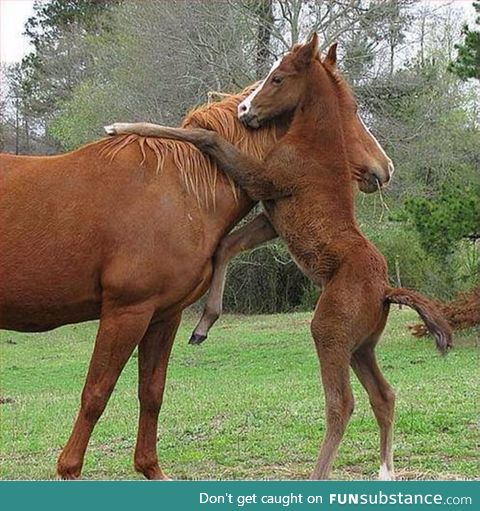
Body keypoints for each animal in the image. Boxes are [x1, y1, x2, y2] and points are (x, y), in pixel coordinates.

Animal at [0, 57, 390, 484]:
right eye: (350, 109)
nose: (385, 167)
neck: (179, 189)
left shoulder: (162, 316)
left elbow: (152, 392)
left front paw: (149, 467)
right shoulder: (126, 312)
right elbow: (96, 393)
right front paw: (69, 469)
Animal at [106, 35, 454, 480]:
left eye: (278, 77)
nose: (244, 110)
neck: (314, 142)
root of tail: (386, 288)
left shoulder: (265, 181)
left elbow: (207, 139)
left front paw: (121, 126)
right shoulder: (271, 217)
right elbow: (226, 246)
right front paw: (204, 325)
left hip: (329, 332)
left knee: (342, 405)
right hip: (361, 347)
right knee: (385, 395)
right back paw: (385, 471)